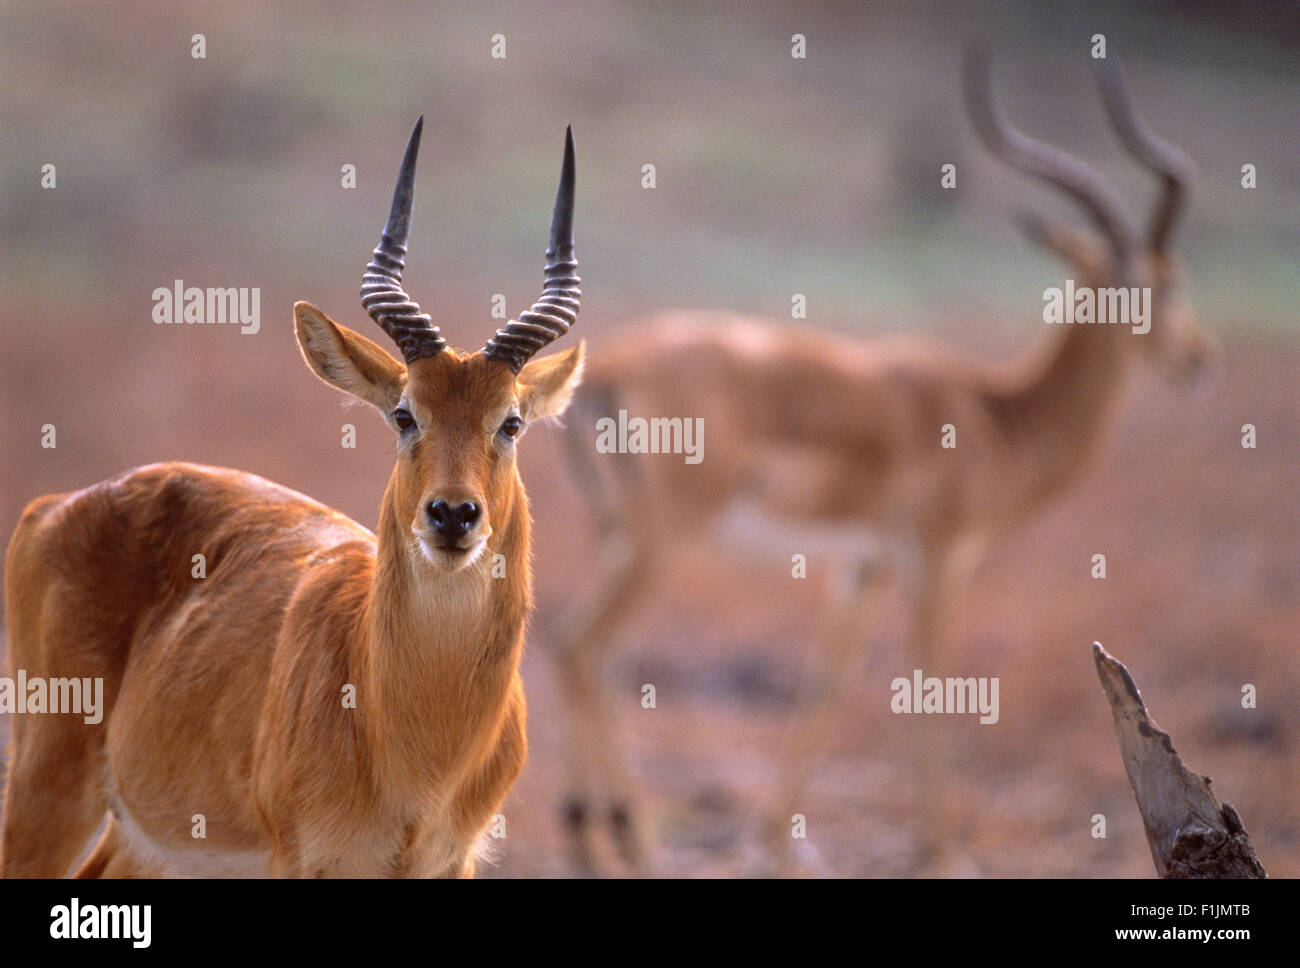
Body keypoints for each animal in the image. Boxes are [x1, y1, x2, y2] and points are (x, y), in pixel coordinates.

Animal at [1, 118, 585, 878]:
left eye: (510, 422)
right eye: (405, 414)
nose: (453, 514)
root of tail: (55, 505)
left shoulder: (449, 861)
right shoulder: (304, 857)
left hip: (151, 843)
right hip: (47, 780)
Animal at [556, 50, 1216, 867]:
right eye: (1163, 282)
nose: (1198, 358)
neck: (995, 416)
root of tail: (606, 368)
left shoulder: (863, 567)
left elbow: (826, 681)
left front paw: (777, 840)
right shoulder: (931, 561)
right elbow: (932, 688)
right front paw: (943, 852)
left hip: (619, 536)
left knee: (580, 651)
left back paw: (594, 836)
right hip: (662, 543)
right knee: (584, 648)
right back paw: (629, 846)